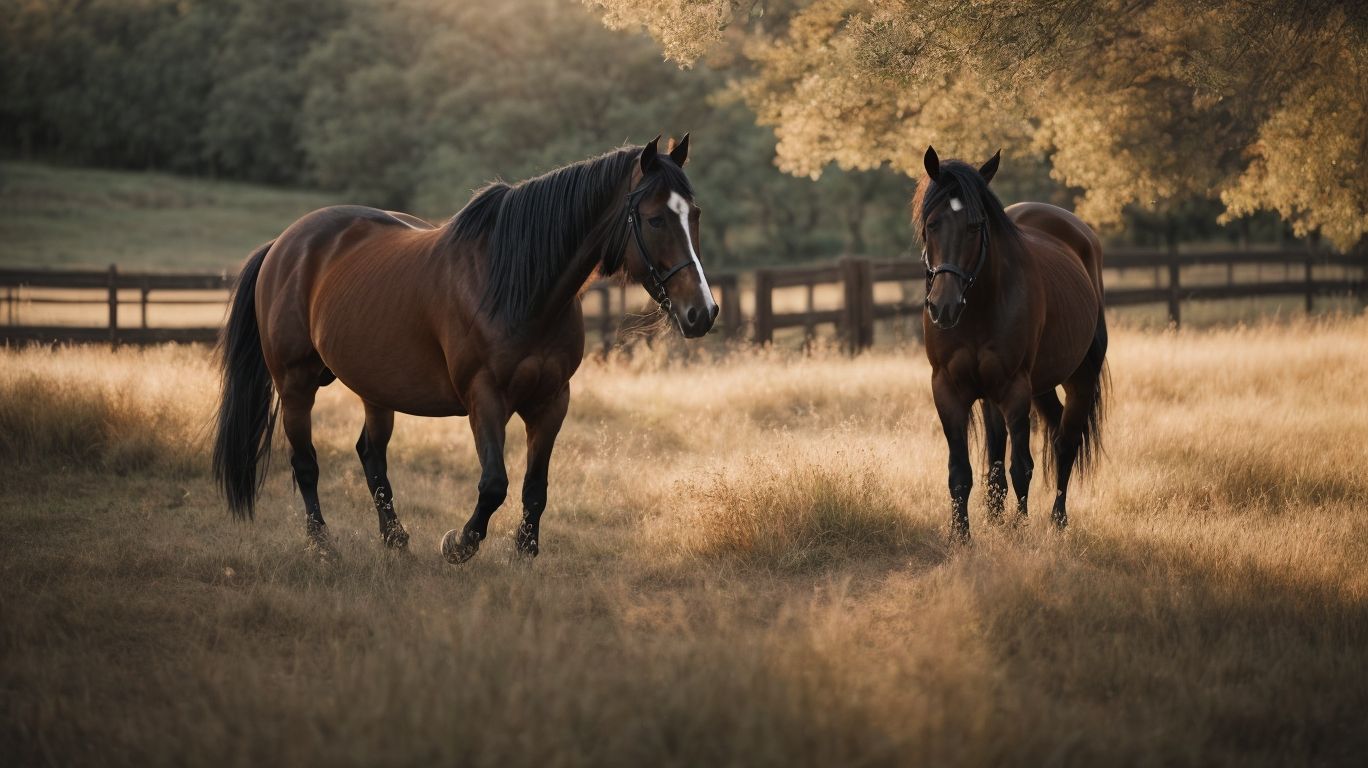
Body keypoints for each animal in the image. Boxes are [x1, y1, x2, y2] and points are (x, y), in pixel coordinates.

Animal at [212, 136, 716, 562]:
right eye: (654, 218)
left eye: (693, 214)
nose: (703, 313)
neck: (516, 286)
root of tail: (284, 243)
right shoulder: (484, 397)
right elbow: (494, 484)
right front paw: (458, 544)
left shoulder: (552, 400)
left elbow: (536, 488)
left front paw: (524, 557)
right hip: (295, 383)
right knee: (306, 464)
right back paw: (323, 547)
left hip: (375, 389)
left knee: (371, 455)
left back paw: (396, 540)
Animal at [916, 146, 1107, 541]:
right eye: (932, 224)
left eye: (975, 226)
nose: (943, 306)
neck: (979, 307)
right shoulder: (947, 388)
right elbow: (960, 471)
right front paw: (961, 536)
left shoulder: (1015, 389)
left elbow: (1022, 466)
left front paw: (1019, 530)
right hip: (1029, 388)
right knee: (1001, 449)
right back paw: (995, 515)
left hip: (1078, 378)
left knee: (1066, 443)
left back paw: (1057, 520)